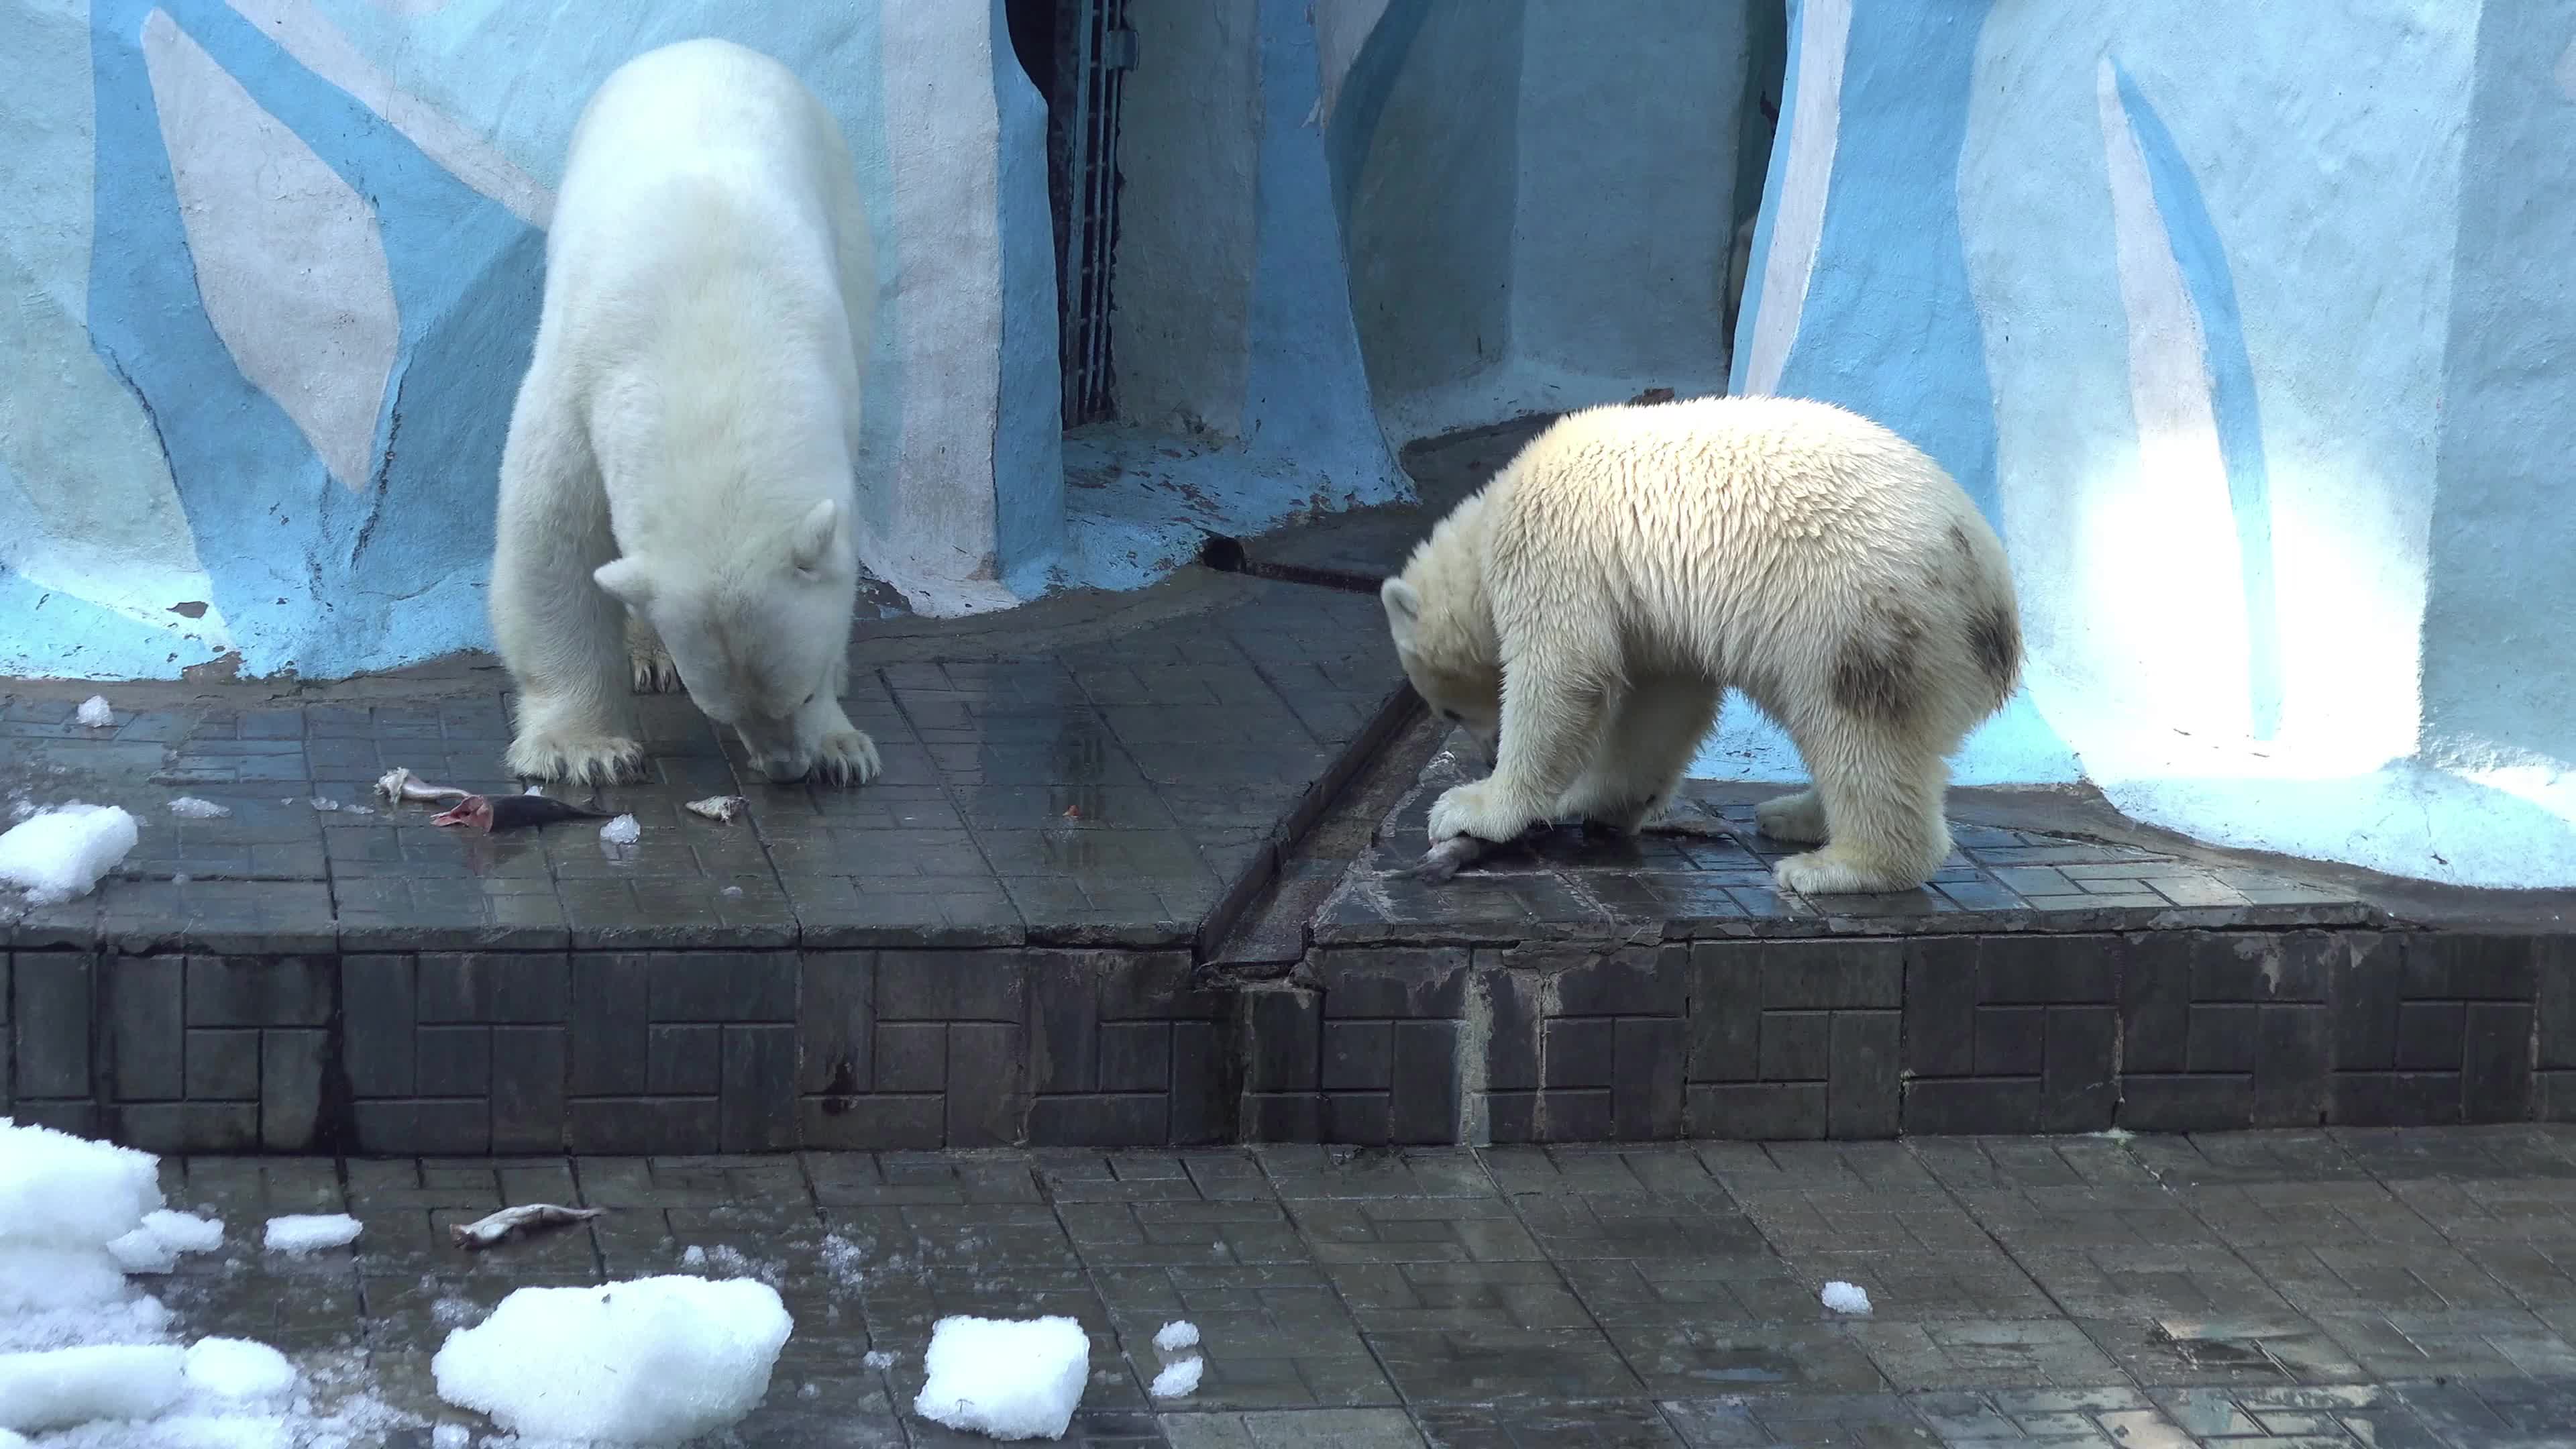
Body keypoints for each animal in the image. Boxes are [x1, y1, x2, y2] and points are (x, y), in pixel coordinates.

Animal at [486, 39, 881, 784]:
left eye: (801, 691)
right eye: (720, 709)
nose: (785, 768)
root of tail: (706, 44)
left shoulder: (836, 377)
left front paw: (842, 749)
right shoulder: (581, 374)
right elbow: (553, 533)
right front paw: (585, 749)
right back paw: (646, 656)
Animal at [1381, 394, 2019, 892]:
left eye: (1447, 709)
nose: (1487, 756)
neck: (1493, 518)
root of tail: (1995, 607)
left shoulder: (1555, 549)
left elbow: (1562, 674)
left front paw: (1471, 808)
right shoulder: (1654, 613)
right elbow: (1661, 706)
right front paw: (1601, 800)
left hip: (1856, 613)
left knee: (1855, 731)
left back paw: (1837, 865)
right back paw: (1795, 815)